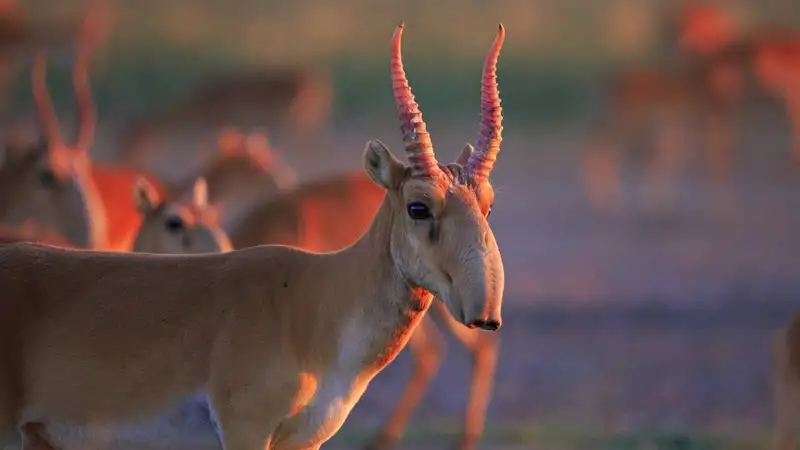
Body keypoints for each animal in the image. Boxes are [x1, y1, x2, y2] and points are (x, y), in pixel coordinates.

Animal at [0, 22, 506, 450]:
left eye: (487, 203)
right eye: (418, 206)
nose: (484, 311)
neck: (311, 299)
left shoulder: (304, 441)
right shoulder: (245, 430)